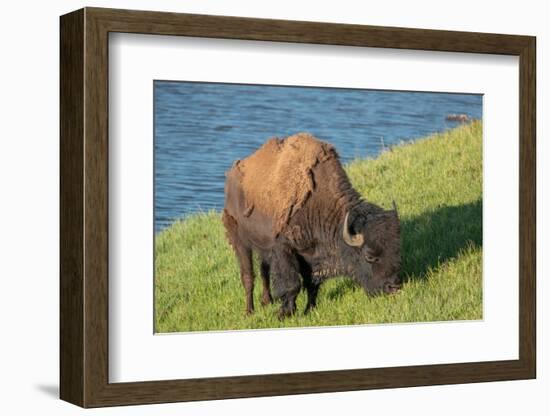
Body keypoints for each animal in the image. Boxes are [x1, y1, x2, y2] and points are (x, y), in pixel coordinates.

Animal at [222, 133, 404, 318]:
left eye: (397, 251)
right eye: (369, 256)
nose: (393, 288)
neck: (318, 202)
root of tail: (231, 177)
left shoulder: (310, 253)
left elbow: (311, 284)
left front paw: (310, 309)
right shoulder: (284, 249)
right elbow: (292, 284)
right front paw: (285, 313)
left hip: (261, 245)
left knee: (263, 271)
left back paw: (267, 301)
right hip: (240, 241)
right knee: (248, 276)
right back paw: (249, 311)